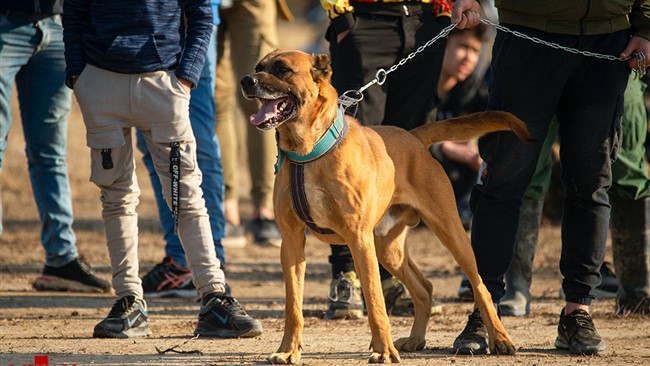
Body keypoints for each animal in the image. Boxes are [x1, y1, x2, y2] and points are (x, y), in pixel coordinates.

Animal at [239, 50, 528, 364]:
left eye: (282, 69)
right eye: (259, 66)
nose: (246, 80)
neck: (310, 151)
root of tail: (413, 136)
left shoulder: (358, 240)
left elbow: (376, 301)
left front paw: (384, 351)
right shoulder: (291, 243)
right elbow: (293, 307)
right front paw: (288, 350)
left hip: (450, 233)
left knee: (480, 287)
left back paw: (500, 338)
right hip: (388, 248)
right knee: (424, 289)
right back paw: (415, 339)